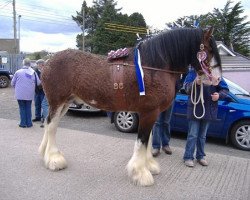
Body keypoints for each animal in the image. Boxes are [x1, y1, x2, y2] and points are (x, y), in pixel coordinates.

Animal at [38, 26, 221, 186]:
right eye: (210, 49)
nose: (218, 79)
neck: (153, 67)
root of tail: (48, 62)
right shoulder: (148, 112)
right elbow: (142, 141)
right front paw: (140, 173)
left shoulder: (150, 113)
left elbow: (148, 140)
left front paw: (149, 166)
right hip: (57, 102)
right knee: (52, 126)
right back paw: (54, 159)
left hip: (65, 103)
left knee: (48, 123)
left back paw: (44, 154)